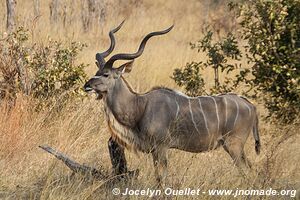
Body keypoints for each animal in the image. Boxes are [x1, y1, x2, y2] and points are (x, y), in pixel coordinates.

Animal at [84, 24, 260, 185]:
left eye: (106, 74)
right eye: (97, 72)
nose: (86, 85)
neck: (140, 106)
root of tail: (251, 106)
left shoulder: (161, 147)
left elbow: (161, 178)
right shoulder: (154, 151)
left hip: (234, 145)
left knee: (246, 170)